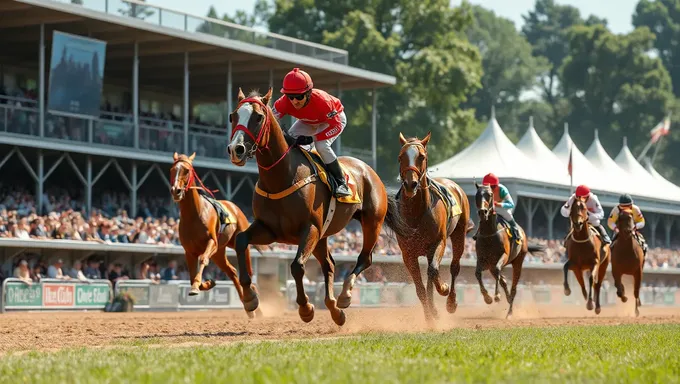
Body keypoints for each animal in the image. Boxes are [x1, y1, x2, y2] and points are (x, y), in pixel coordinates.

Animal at [170, 153, 258, 318]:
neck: (194, 215)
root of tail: (235, 207)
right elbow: (191, 276)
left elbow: (203, 259)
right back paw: (248, 305)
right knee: (232, 271)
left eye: (186, 170)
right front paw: (206, 283)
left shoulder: (212, 242)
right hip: (219, 254)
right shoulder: (189, 251)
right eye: (172, 170)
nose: (176, 191)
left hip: (237, 244)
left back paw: (253, 294)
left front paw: (196, 286)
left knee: (248, 270)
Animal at [226, 88, 412, 326]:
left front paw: (306, 308)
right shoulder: (269, 230)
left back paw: (344, 296)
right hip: (323, 236)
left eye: (258, 117)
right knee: (330, 264)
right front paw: (250, 298)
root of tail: (370, 171)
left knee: (364, 258)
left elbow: (297, 266)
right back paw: (335, 310)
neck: (282, 177)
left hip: (371, 222)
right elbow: (241, 240)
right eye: (232, 116)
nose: (236, 149)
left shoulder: (310, 228)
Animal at [394, 133, 472, 320]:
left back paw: (451, 302)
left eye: (422, 157)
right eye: (401, 157)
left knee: (454, 267)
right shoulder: (408, 253)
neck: (416, 213)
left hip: (459, 235)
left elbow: (434, 271)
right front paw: (430, 314)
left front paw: (443, 289)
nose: (410, 184)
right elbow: (420, 287)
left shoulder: (437, 243)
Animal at [472, 183, 548, 318]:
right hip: (490, 266)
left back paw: (510, 312)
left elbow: (498, 270)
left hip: (518, 261)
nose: (482, 212)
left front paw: (496, 295)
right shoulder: (482, 259)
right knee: (503, 280)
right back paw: (507, 299)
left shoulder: (504, 255)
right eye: (477, 195)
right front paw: (487, 297)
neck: (489, 233)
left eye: (490, 194)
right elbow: (477, 273)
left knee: (513, 287)